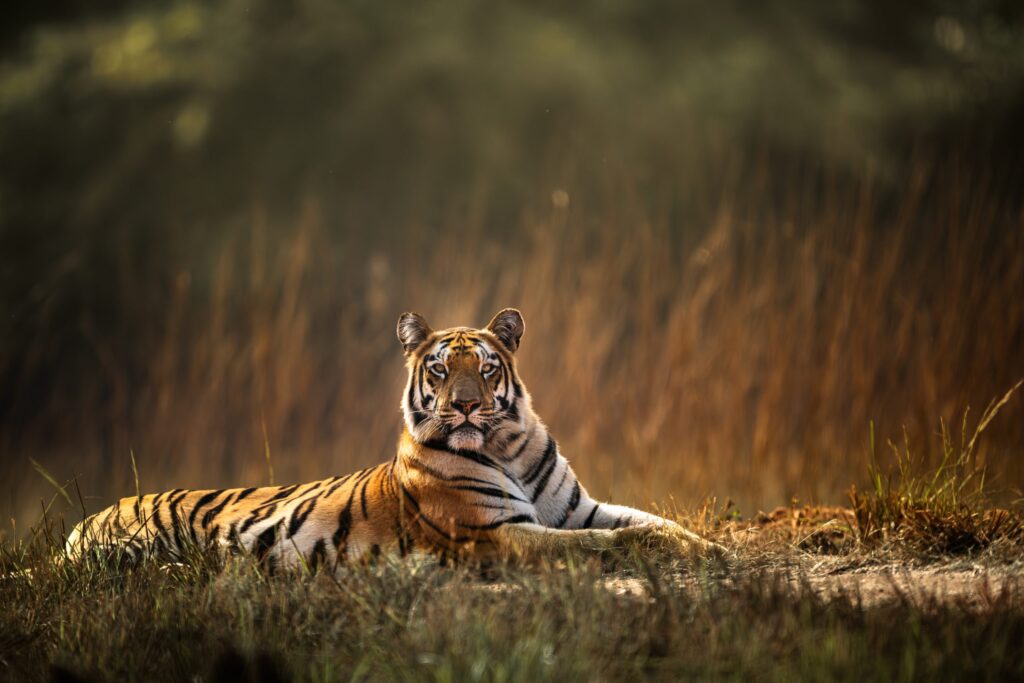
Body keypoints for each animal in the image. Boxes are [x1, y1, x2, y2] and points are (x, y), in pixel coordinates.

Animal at [66, 311, 720, 573]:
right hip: (129, 547)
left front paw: (713, 549)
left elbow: (654, 522)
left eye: (485, 368)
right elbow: (607, 544)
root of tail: (90, 517)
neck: (506, 446)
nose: (466, 405)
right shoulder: (496, 534)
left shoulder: (579, 509)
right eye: (439, 369)